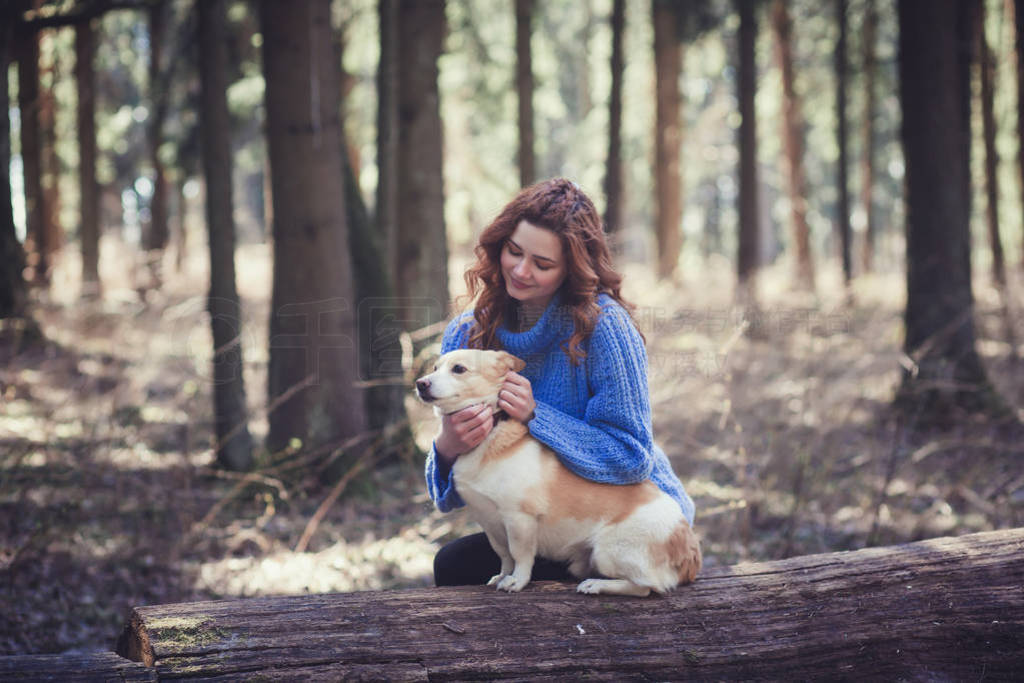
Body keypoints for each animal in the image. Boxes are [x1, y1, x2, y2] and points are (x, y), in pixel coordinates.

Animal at [413, 350, 696, 593]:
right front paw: (502, 575)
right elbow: (504, 556)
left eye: (458, 369)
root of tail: (689, 545)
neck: (491, 436)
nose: (420, 383)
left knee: (646, 587)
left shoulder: (519, 520)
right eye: (435, 368)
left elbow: (520, 555)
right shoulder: (491, 523)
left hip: (607, 551)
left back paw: (596, 585)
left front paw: (517, 581)